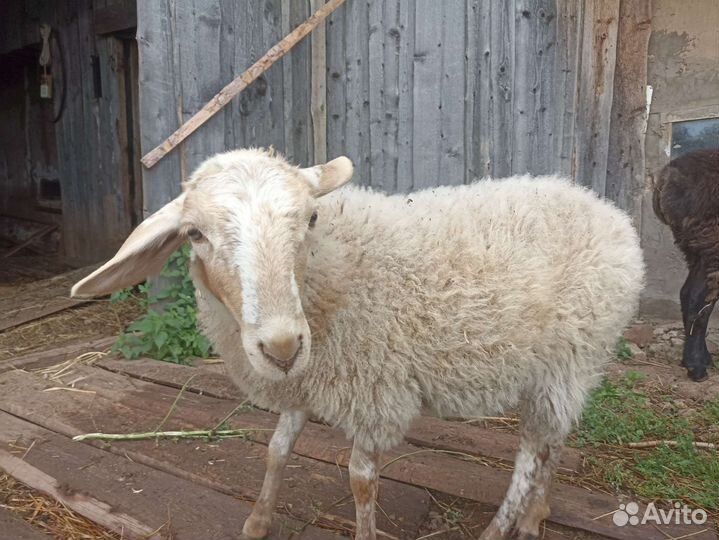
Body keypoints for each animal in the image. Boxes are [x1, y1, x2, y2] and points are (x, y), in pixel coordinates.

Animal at [71, 148, 645, 540]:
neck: (326, 274)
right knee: (554, 441)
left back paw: (503, 526)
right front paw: (257, 520)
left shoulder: (373, 391)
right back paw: (535, 515)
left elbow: (361, 480)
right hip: (564, 368)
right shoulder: (305, 380)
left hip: (570, 357)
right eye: (194, 233)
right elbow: (277, 451)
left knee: (531, 452)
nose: (281, 345)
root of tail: (607, 210)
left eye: (311, 217)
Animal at [653, 148, 719, 382]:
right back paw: (696, 365)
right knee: (698, 299)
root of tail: (667, 176)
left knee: (688, 294)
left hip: (696, 246)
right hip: (711, 241)